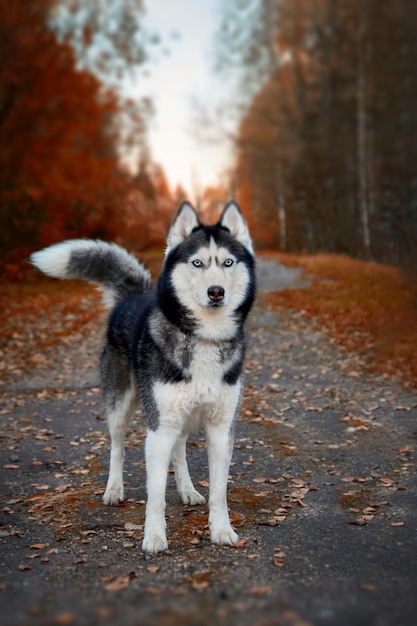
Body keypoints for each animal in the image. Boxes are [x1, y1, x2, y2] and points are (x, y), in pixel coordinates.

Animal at [30, 201, 255, 552]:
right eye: (198, 263)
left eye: (228, 262)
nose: (216, 292)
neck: (203, 337)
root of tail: (133, 295)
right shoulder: (158, 429)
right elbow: (156, 494)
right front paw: (154, 536)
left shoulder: (221, 428)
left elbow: (219, 491)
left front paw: (221, 530)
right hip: (122, 405)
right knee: (118, 447)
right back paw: (113, 490)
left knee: (179, 448)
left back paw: (187, 489)